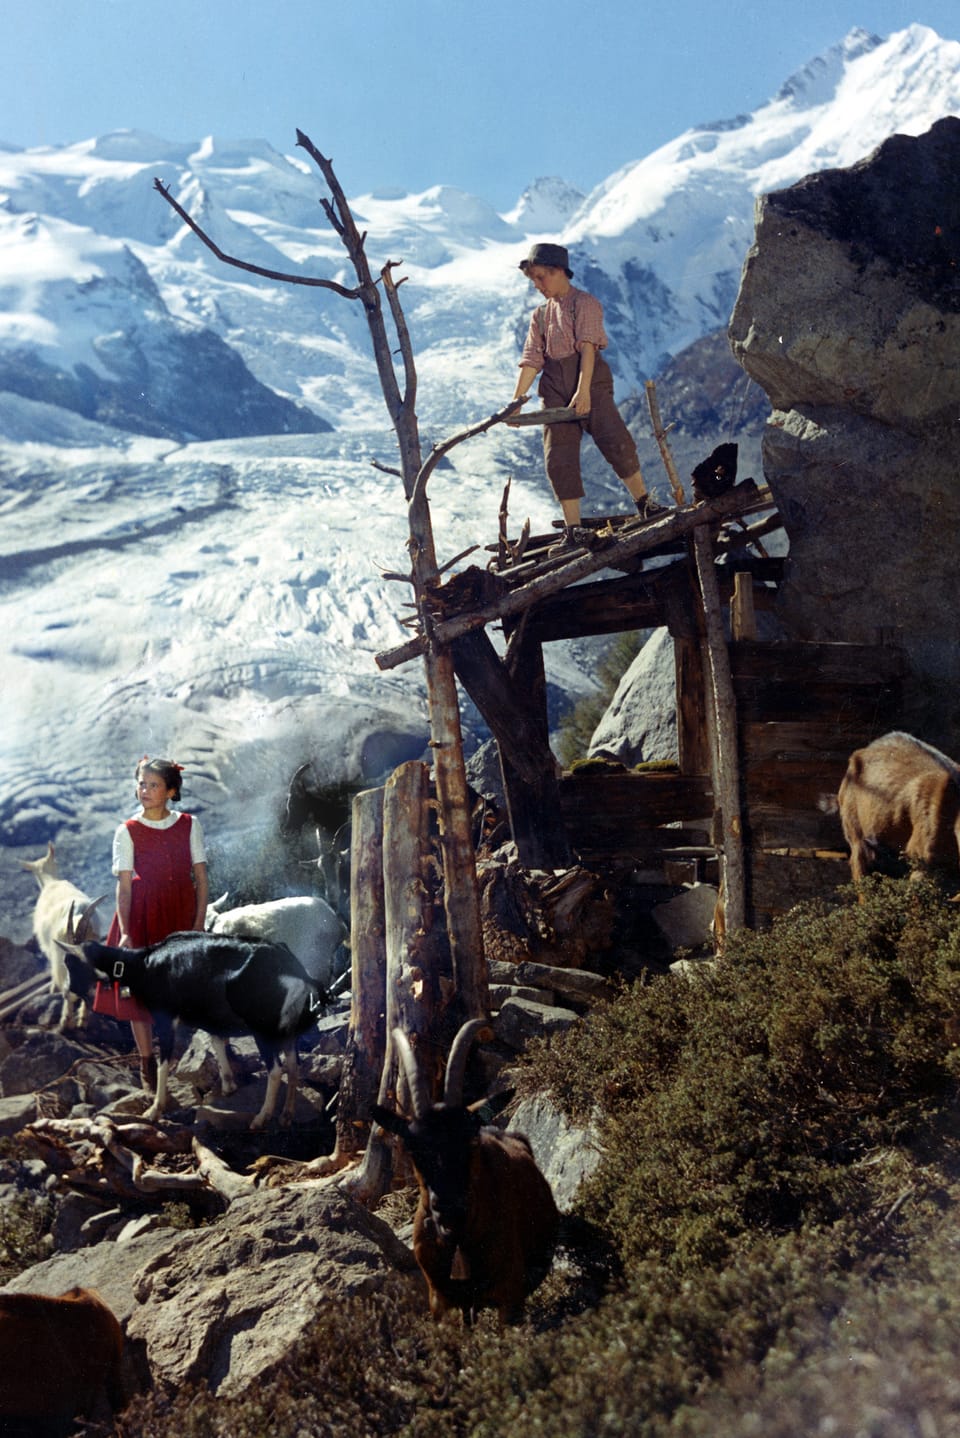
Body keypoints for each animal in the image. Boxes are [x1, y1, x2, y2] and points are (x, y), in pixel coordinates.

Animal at [18, 839, 105, 1035]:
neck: (51, 881)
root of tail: (79, 913)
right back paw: (82, 1020)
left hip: (62, 953)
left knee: (67, 990)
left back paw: (66, 1023)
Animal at [63, 914, 327, 1127]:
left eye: (72, 963)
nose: (71, 989)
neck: (144, 963)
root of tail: (294, 969)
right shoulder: (210, 1015)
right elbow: (217, 1041)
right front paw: (228, 1087)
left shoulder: (166, 1018)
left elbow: (165, 1062)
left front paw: (153, 1111)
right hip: (286, 1028)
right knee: (293, 1065)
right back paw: (286, 1115)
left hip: (263, 1028)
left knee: (276, 1070)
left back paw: (261, 1118)